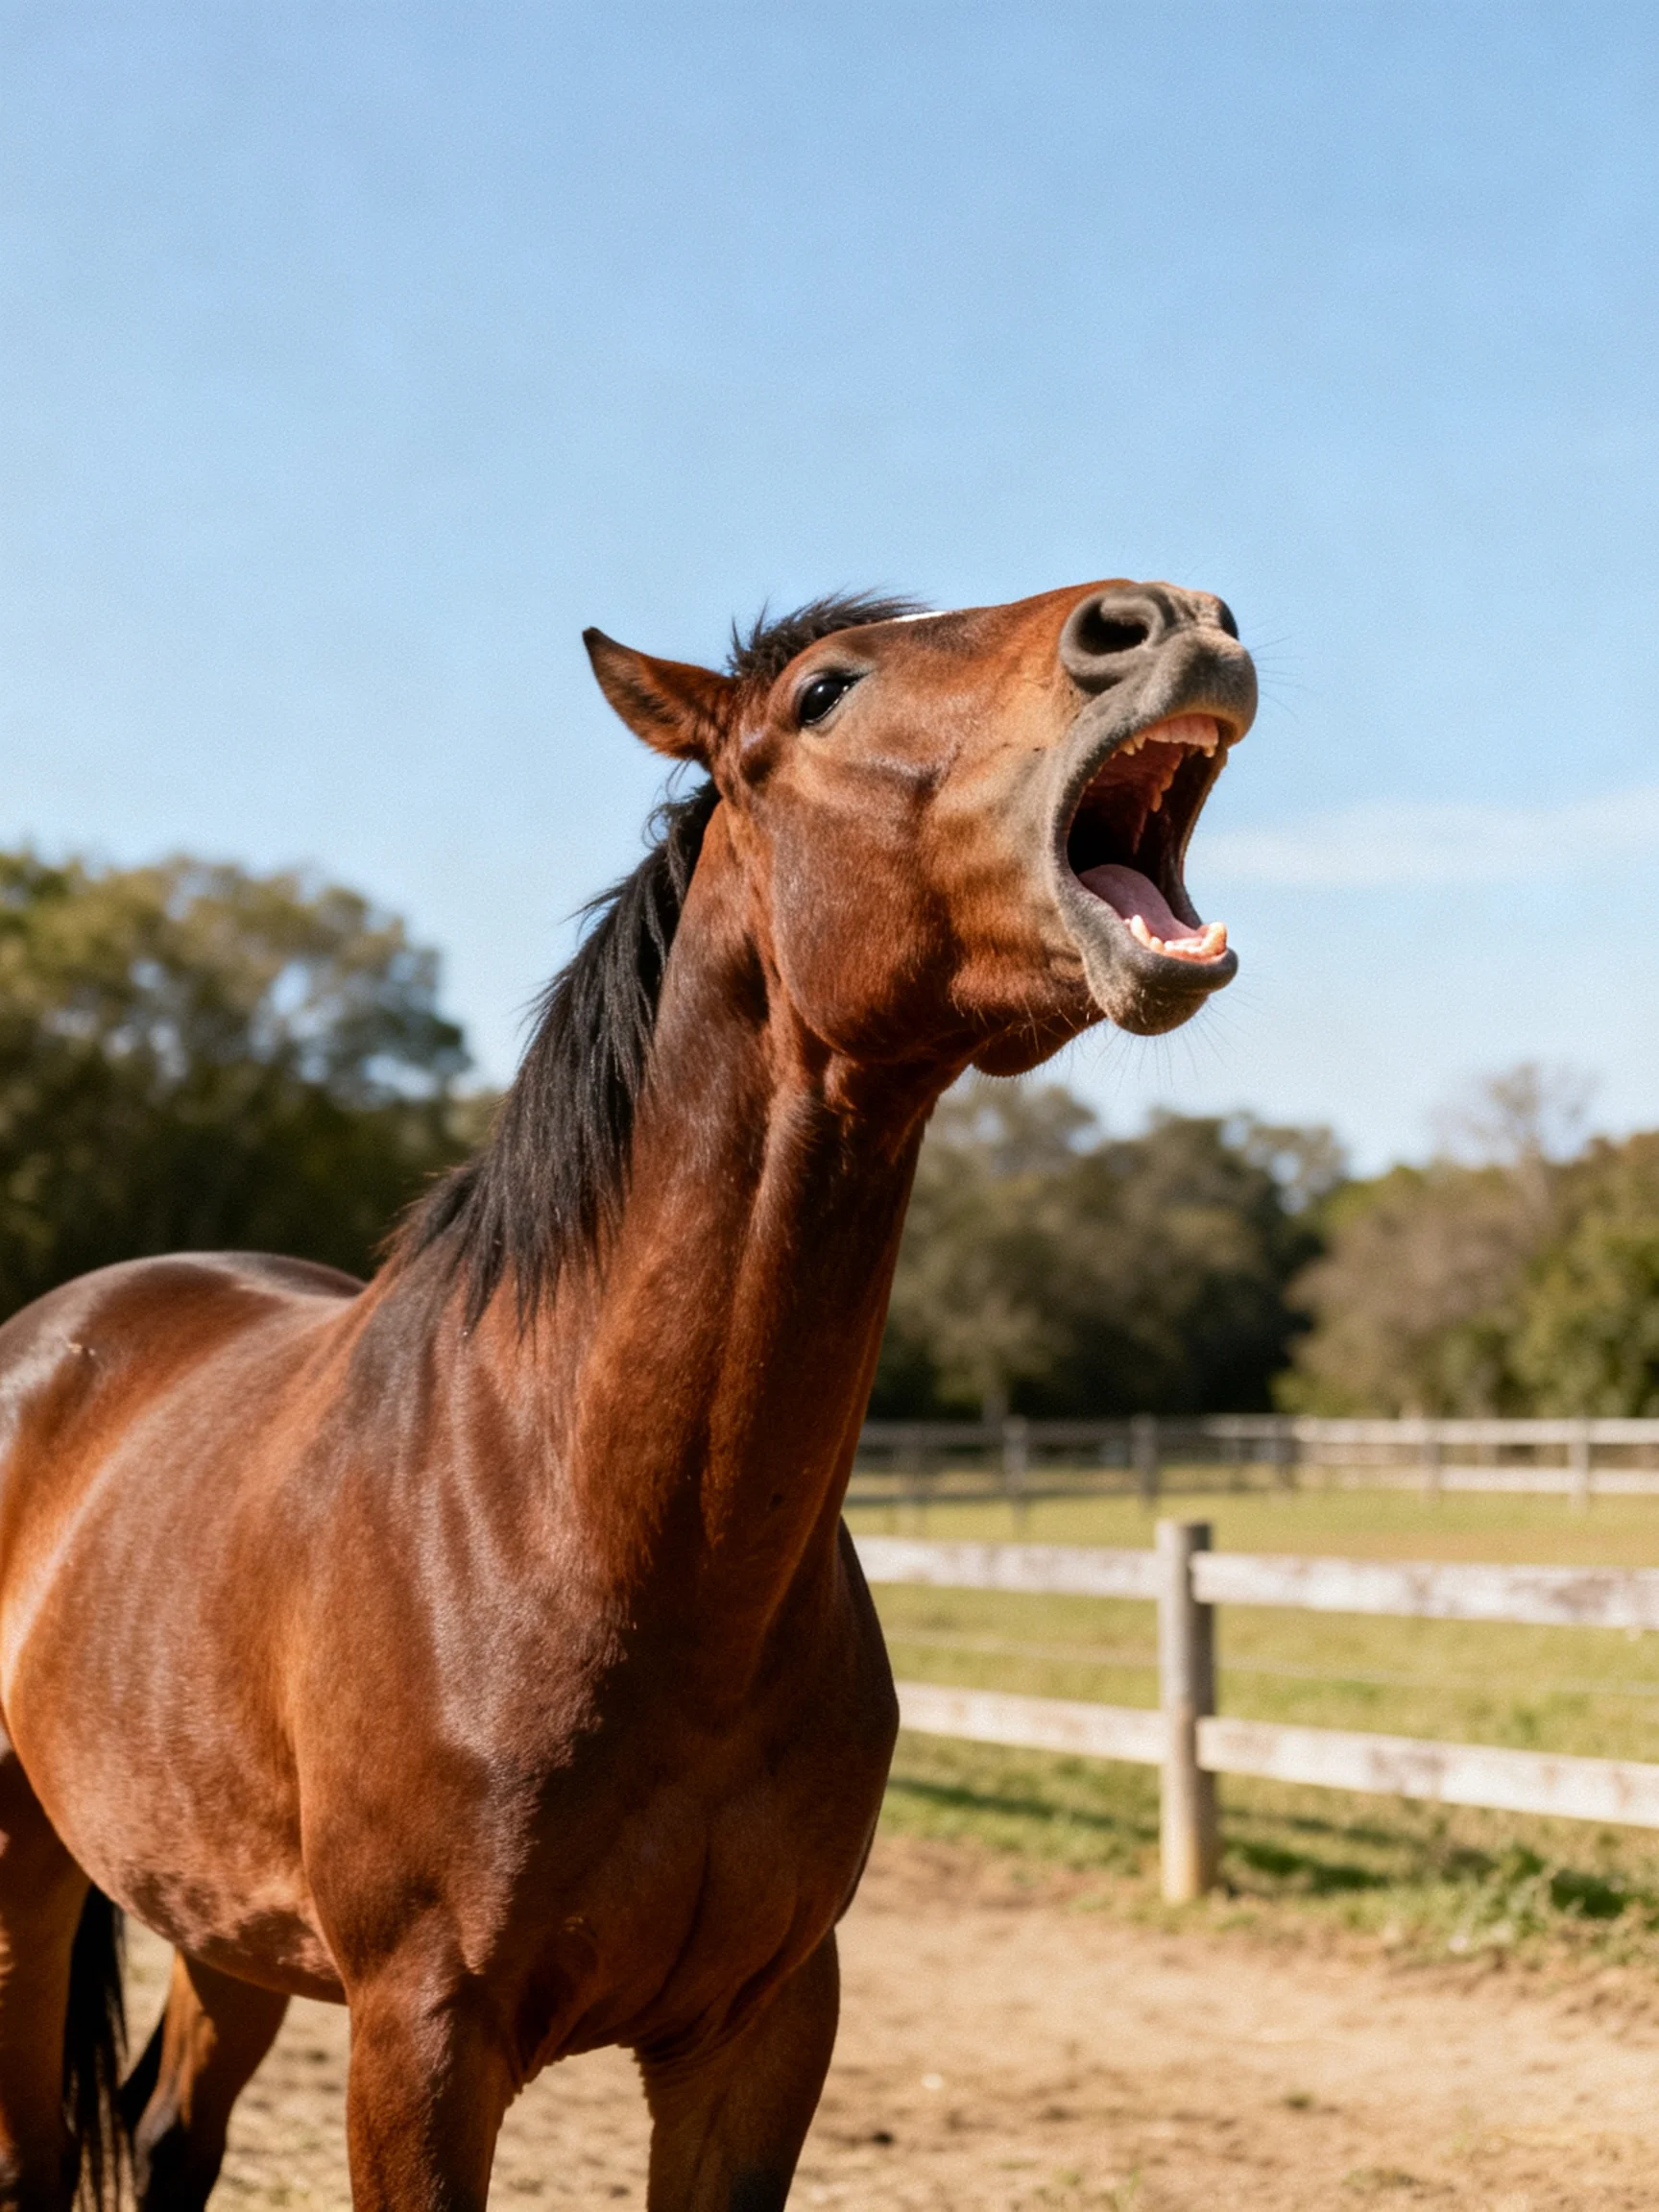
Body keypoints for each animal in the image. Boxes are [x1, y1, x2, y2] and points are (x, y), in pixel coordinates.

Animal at [0, 578, 1255, 2212]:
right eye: (824, 691)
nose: (1165, 619)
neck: (583, 1520)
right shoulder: (421, 2040)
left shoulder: (761, 2032)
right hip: (26, 1876)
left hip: (225, 1921)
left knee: (166, 2134)